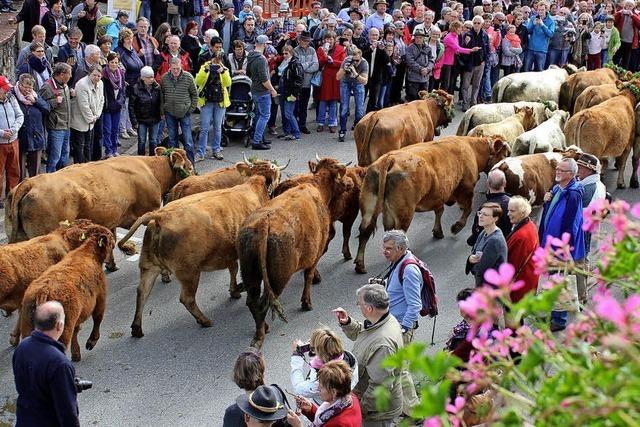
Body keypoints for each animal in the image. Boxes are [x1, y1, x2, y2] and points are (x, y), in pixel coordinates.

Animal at [5, 148, 192, 270]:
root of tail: (30, 181)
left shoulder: (112, 218)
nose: (194, 175)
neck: (151, 170)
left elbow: (112, 238)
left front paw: (112, 264)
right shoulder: (149, 211)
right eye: (189, 168)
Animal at [19, 226, 114, 362]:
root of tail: (43, 291)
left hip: (27, 327)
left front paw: (76, 354)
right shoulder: (100, 297)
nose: (114, 241)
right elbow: (97, 318)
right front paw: (91, 342)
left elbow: (77, 330)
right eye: (110, 238)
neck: (88, 252)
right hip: (62, 330)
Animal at [117, 160, 282, 338]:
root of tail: (160, 215)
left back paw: (137, 328)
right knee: (186, 298)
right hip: (189, 272)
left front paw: (235, 290)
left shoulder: (228, 252)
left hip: (149, 265)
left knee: (142, 291)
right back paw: (204, 320)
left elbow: (233, 268)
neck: (253, 188)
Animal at [239, 157, 350, 348]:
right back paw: (260, 335)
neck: (316, 186)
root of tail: (263, 223)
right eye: (342, 173)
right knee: (262, 304)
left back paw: (264, 327)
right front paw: (307, 302)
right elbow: (308, 276)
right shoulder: (316, 251)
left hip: (250, 275)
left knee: (252, 302)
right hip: (278, 278)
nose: (350, 183)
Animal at [356, 137, 510, 274]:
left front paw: (438, 231)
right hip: (405, 212)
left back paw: (360, 265)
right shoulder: (466, 188)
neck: (472, 148)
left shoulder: (439, 194)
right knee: (397, 234)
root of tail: (389, 158)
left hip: (369, 207)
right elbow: (467, 209)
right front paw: (456, 227)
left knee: (366, 232)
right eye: (505, 154)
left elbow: (439, 210)